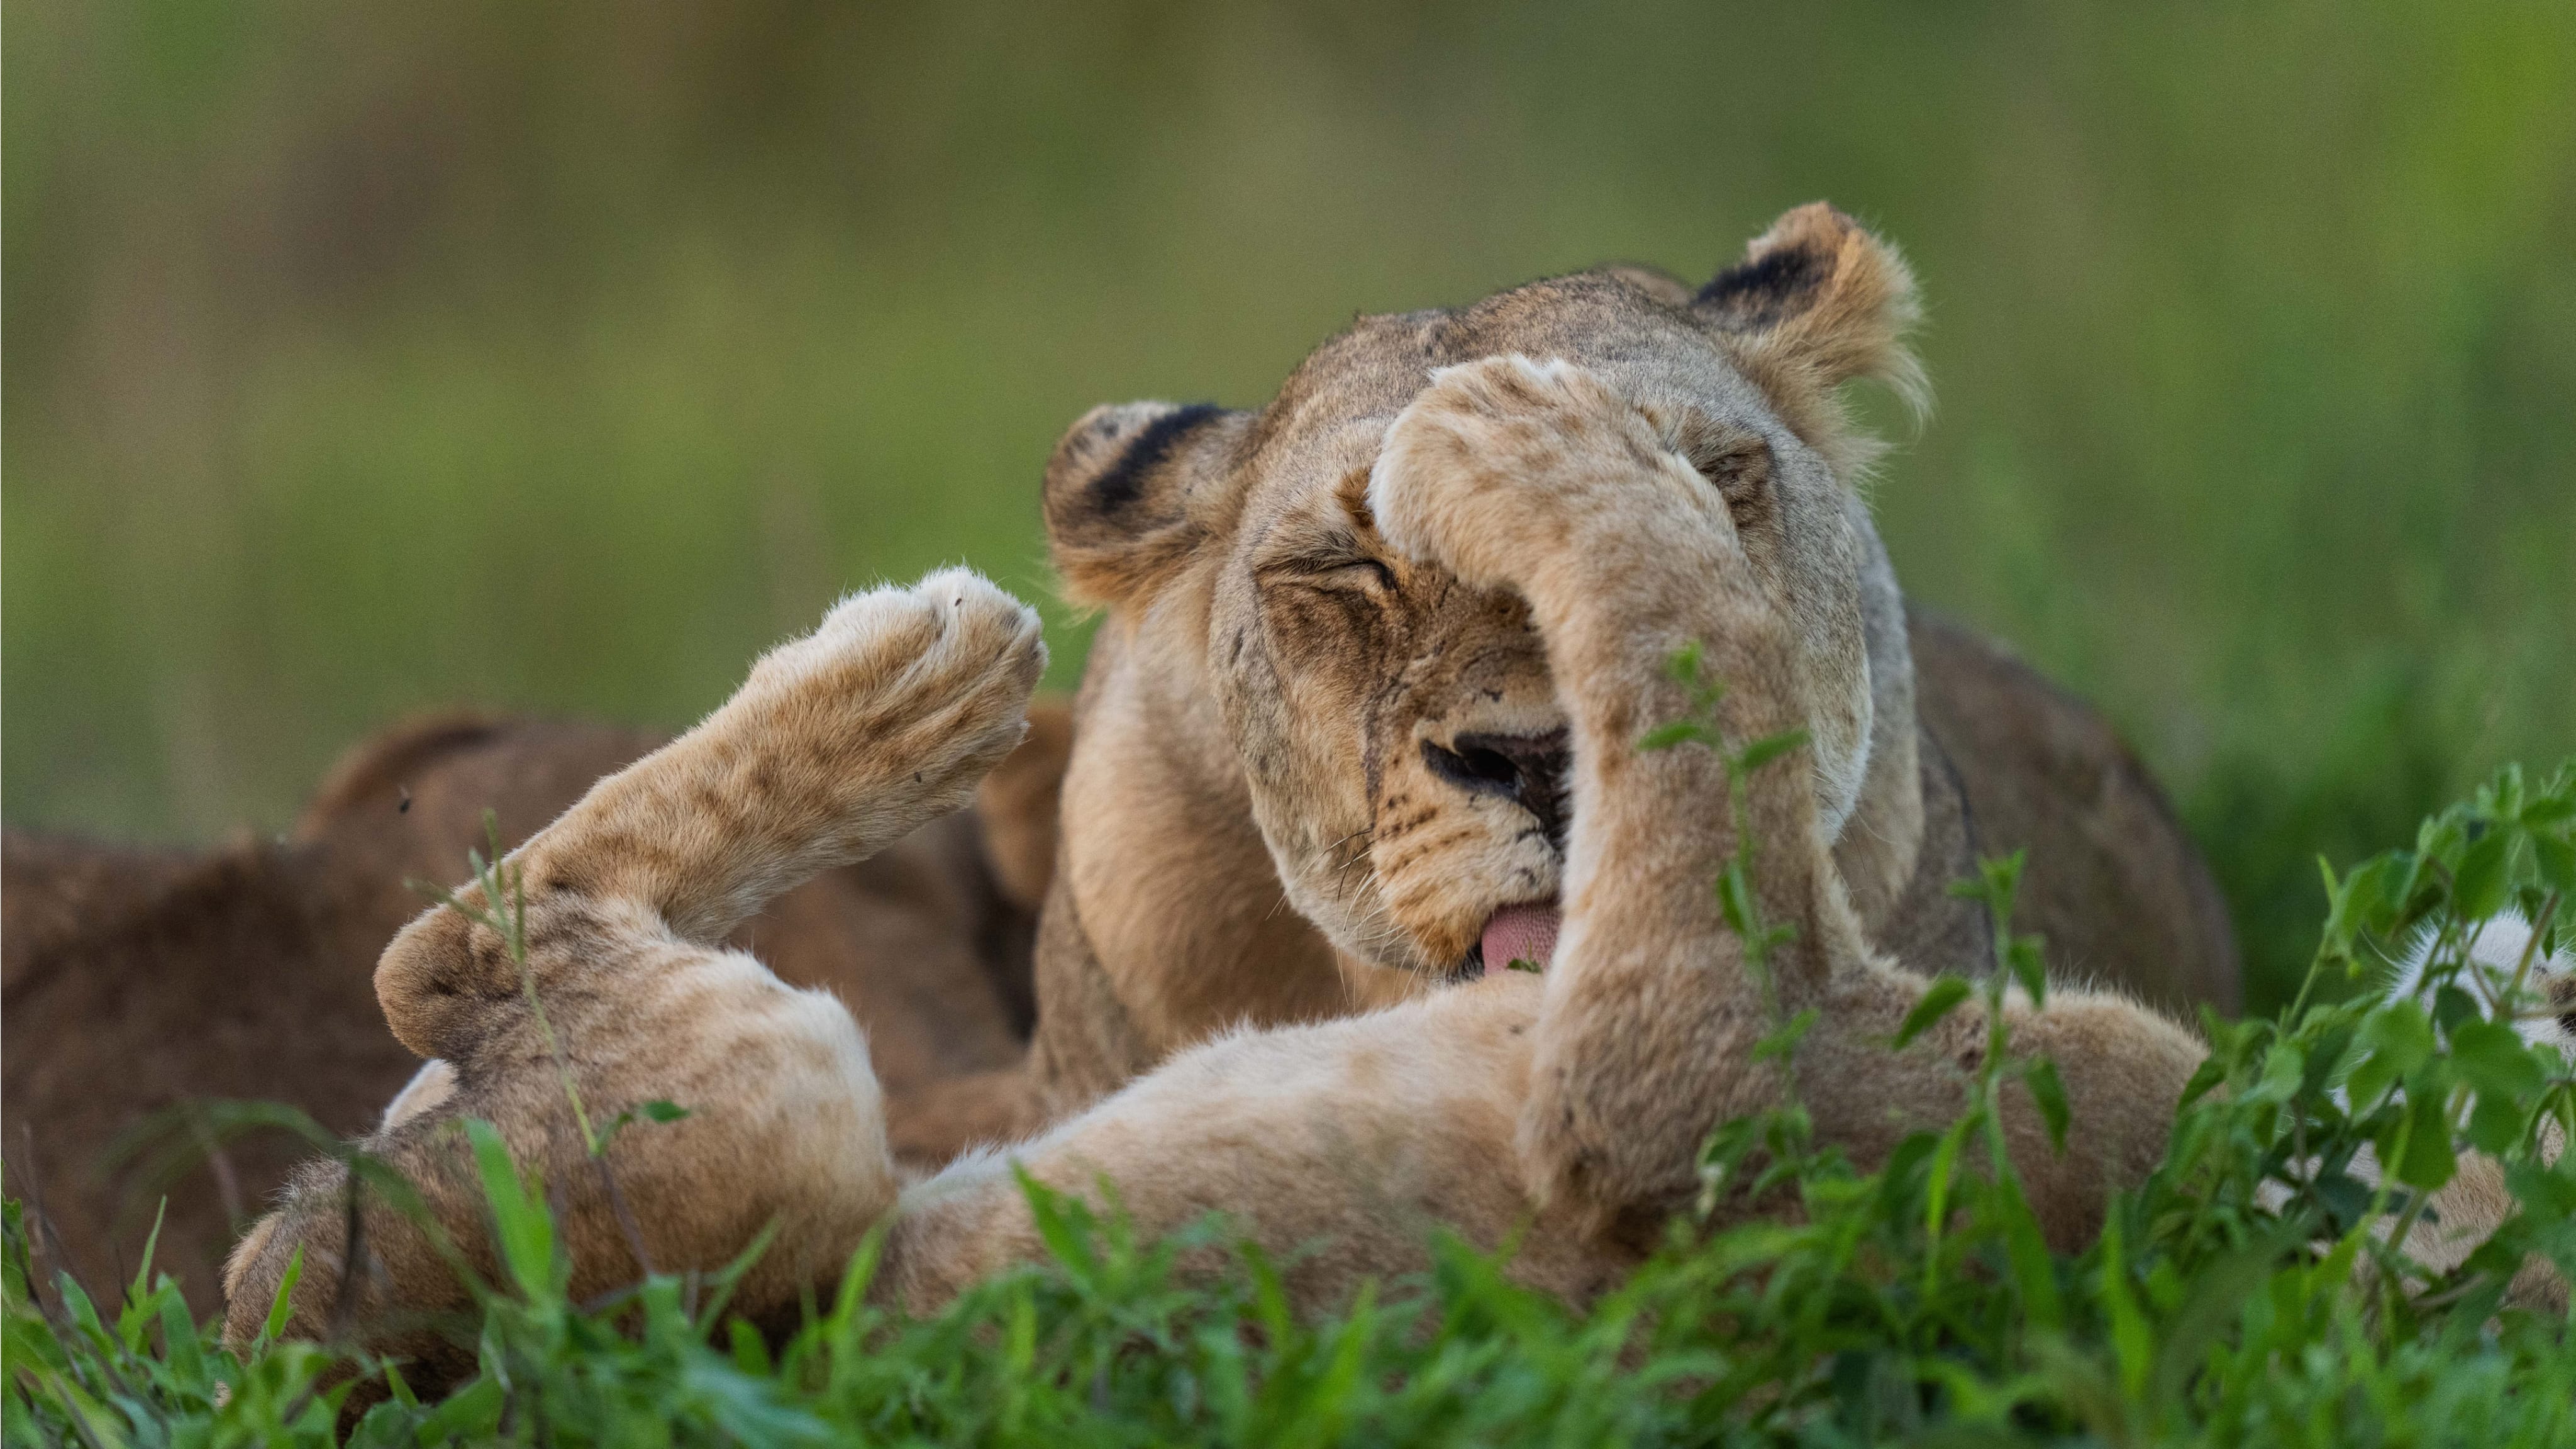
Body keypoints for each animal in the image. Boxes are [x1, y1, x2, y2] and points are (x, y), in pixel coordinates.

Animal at [224, 206, 2260, 1377]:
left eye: (1717, 474)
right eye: (1344, 570)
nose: (1534, 755)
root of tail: (293, 1338)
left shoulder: (1743, 1075)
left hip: (746, 1126)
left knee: (458, 957)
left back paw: (923, 675)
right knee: (443, 969)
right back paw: (932, 673)